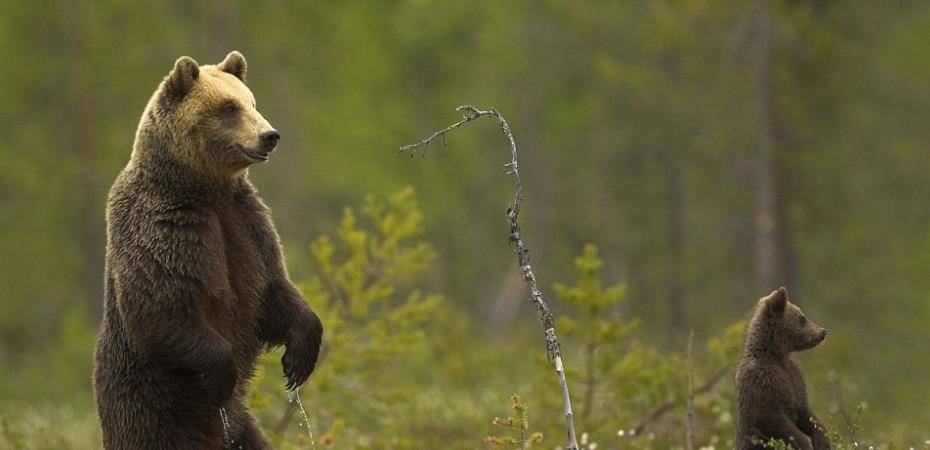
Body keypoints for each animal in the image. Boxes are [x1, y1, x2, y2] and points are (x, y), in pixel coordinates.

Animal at [91, 51, 322, 448]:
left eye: (252, 102)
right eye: (229, 107)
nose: (269, 136)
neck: (206, 189)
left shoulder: (247, 224)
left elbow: (271, 289)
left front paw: (299, 359)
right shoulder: (166, 227)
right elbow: (159, 304)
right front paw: (221, 376)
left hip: (243, 427)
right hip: (155, 410)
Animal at [736, 288, 832, 450]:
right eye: (802, 318)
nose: (823, 331)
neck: (776, 356)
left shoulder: (795, 379)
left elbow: (806, 412)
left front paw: (822, 439)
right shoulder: (764, 383)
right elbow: (773, 419)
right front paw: (805, 442)